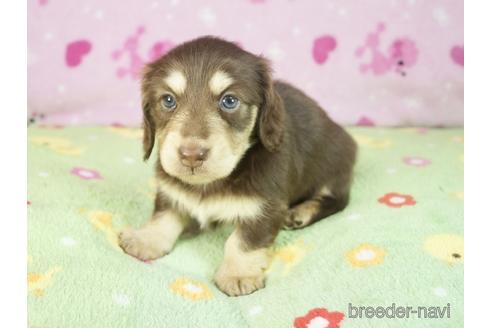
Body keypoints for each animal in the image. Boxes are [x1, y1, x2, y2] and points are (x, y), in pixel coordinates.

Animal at [119, 36, 358, 298]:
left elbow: (243, 241)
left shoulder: (266, 208)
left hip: (333, 168)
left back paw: (300, 213)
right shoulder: (171, 191)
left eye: (230, 101)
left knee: (338, 200)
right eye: (168, 100)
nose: (191, 155)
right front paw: (146, 239)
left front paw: (238, 274)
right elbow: (164, 215)